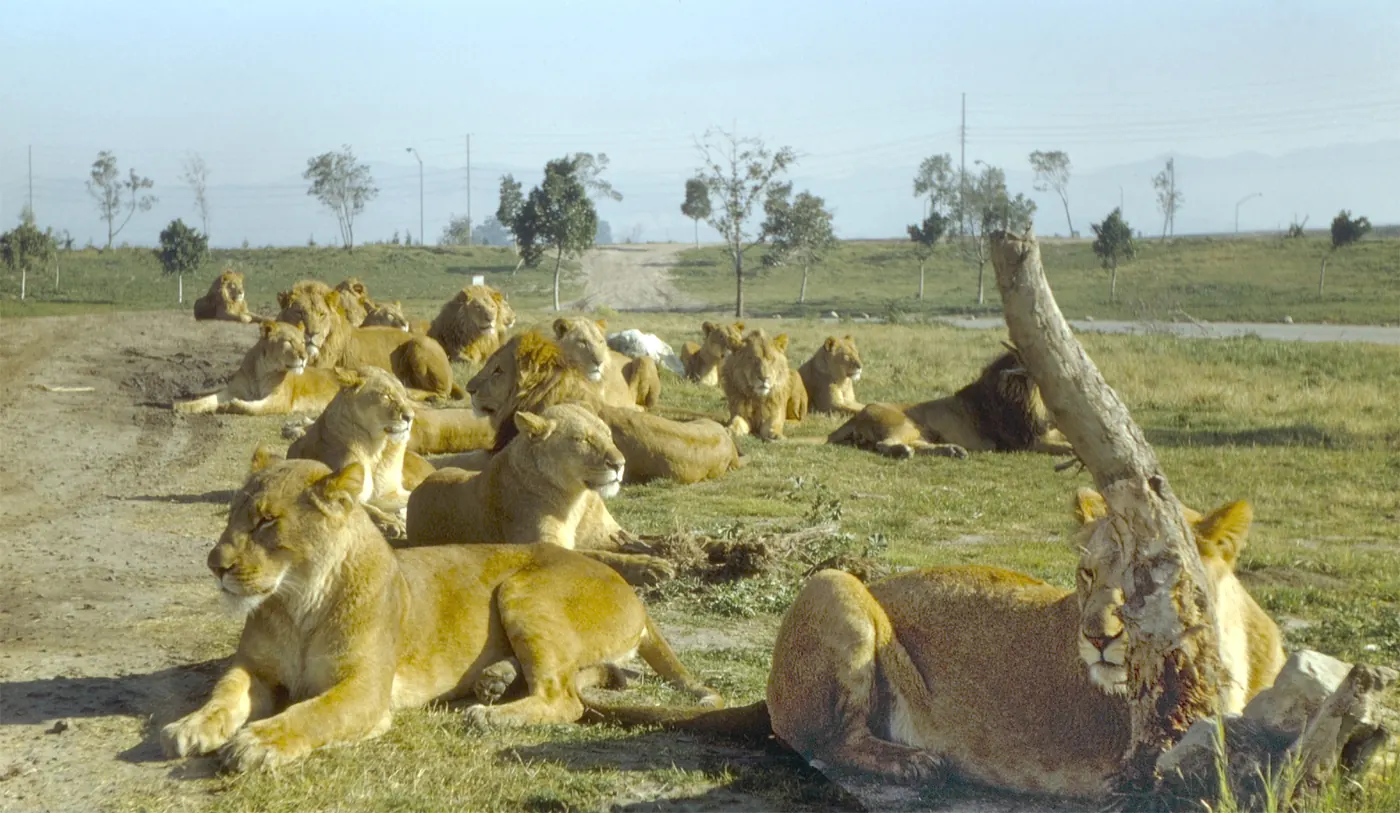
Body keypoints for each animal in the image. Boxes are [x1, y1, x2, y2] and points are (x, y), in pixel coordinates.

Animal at [160, 452, 720, 773]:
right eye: (232, 516)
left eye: (265, 522)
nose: (214, 565)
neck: (297, 601)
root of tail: (631, 591)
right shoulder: (253, 669)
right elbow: (223, 693)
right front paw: (191, 726)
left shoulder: (365, 690)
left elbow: (310, 714)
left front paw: (258, 742)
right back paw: (494, 680)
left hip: (524, 589)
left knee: (565, 699)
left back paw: (489, 713)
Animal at [173, 321, 344, 415]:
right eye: (289, 342)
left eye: (303, 342)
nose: (304, 356)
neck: (261, 371)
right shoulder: (233, 390)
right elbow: (207, 399)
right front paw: (182, 406)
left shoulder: (280, 400)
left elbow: (256, 408)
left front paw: (232, 405)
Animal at [589, 489, 1285, 799]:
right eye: (1087, 574)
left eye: (1147, 578)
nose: (1095, 637)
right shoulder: (1140, 769)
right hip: (834, 584)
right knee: (819, 742)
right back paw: (916, 763)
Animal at [827, 347, 1072, 459]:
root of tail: (860, 413)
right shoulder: (1025, 442)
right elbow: (1066, 448)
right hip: (905, 424)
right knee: (884, 444)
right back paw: (905, 451)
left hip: (922, 431)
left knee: (921, 445)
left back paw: (953, 450)